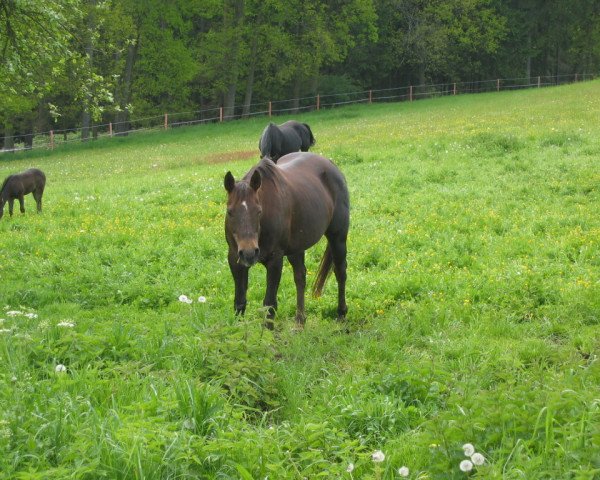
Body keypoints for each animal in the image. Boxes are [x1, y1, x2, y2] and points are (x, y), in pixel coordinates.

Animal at [224, 152, 346, 328]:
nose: (249, 253)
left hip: (338, 237)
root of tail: (331, 166)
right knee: (300, 277)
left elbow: (269, 304)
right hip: (297, 247)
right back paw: (300, 321)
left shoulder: (275, 260)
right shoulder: (235, 259)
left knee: (340, 272)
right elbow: (239, 302)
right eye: (230, 212)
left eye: (259, 211)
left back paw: (341, 314)